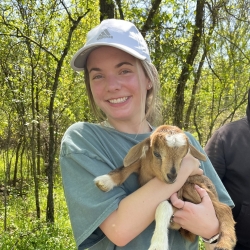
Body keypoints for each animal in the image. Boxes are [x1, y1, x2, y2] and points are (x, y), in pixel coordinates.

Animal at [94, 125, 236, 250]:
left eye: (183, 156)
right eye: (156, 154)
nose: (172, 176)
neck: (153, 173)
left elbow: (163, 206)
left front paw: (158, 245)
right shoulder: (143, 163)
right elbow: (127, 166)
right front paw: (105, 181)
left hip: (193, 187)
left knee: (224, 208)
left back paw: (224, 243)